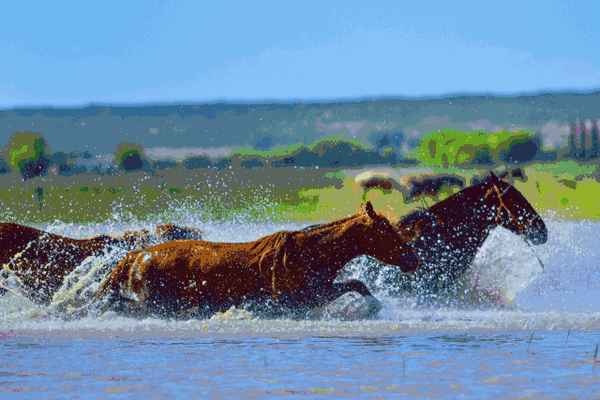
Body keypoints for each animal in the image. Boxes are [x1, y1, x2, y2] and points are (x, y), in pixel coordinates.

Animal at [95, 203, 422, 318]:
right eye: (386, 231)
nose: (413, 259)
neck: (310, 254)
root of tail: (135, 256)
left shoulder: (317, 291)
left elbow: (357, 283)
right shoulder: (300, 298)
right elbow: (355, 284)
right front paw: (374, 307)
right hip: (154, 301)